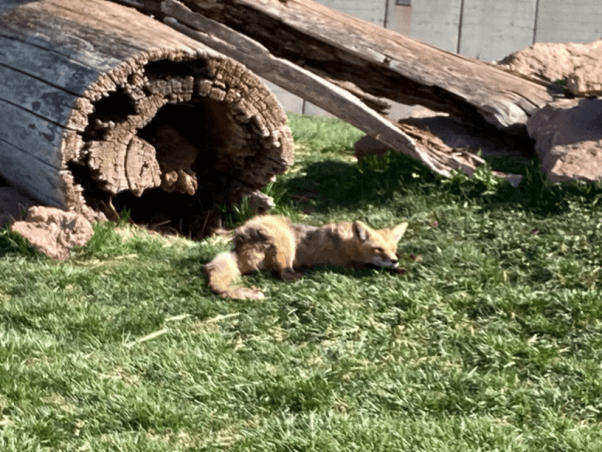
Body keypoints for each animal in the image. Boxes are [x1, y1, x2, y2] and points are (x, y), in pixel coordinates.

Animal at [203, 215, 408, 300]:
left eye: (393, 249)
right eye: (378, 249)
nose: (394, 260)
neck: (347, 243)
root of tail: (237, 246)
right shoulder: (350, 264)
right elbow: (373, 266)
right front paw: (399, 270)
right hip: (285, 241)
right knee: (284, 275)